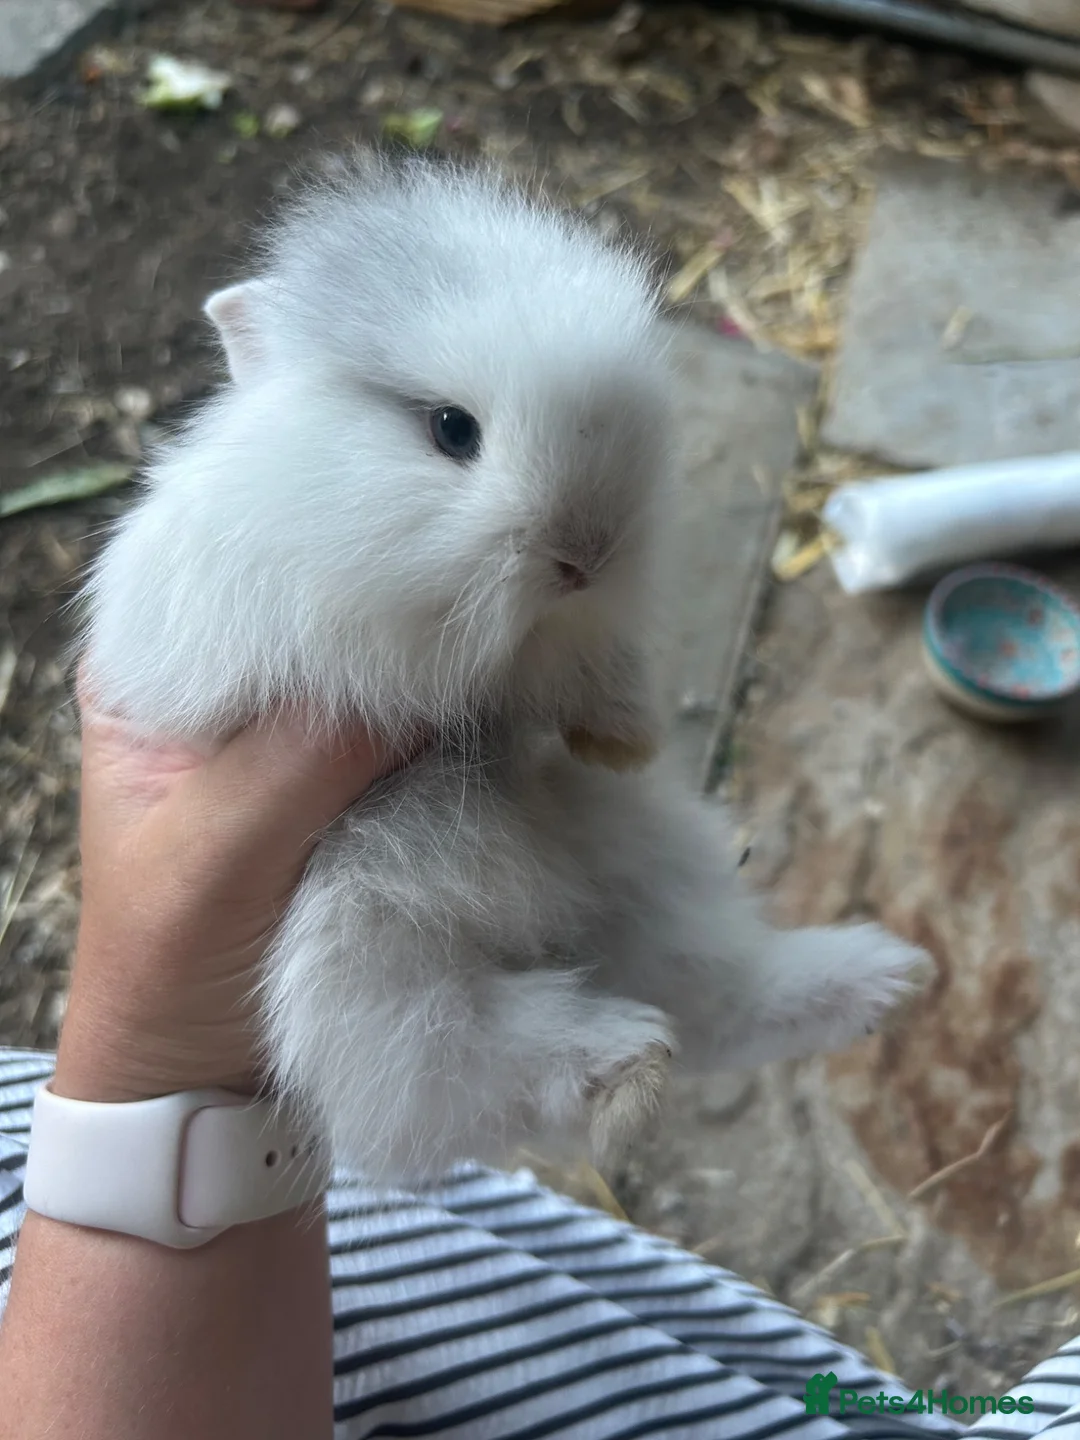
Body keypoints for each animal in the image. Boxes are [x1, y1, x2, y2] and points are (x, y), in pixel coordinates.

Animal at [82, 155, 930, 1184]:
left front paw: (622, 739)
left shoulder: (582, 640)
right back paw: (630, 1063)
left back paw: (888, 979)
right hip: (360, 954)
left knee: (717, 995)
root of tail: (551, 929)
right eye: (452, 430)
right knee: (461, 1069)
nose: (587, 552)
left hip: (642, 866)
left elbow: (594, 671)